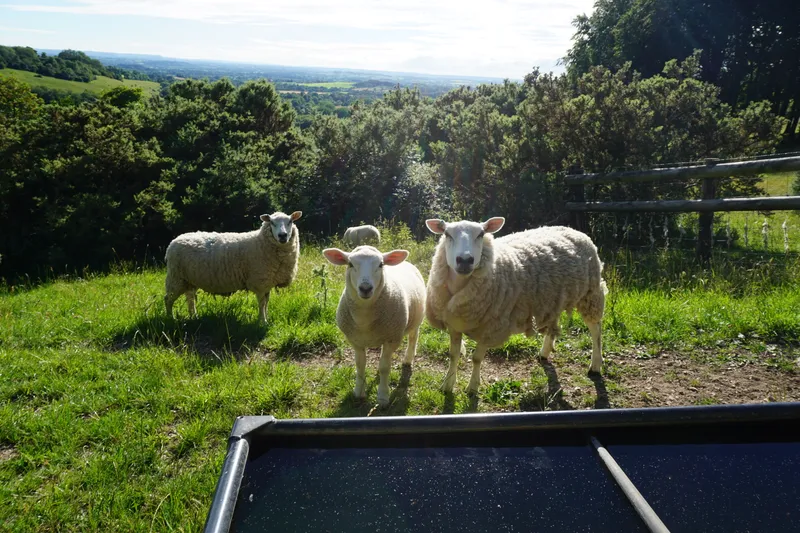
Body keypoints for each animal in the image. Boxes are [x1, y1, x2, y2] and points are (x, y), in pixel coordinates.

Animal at [164, 211, 302, 323]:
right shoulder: (259, 281)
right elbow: (262, 303)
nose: (282, 235)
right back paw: (170, 319)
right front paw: (262, 322)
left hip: (189, 280)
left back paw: (194, 316)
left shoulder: (267, 281)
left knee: (190, 297)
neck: (261, 242)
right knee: (168, 299)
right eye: (272, 222)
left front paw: (265, 318)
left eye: (290, 221)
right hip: (176, 277)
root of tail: (174, 241)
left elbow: (266, 302)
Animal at [322, 245, 425, 407]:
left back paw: (408, 359)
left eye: (381, 264)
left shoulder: (391, 339)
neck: (364, 319)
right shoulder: (356, 341)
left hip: (416, 319)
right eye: (350, 264)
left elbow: (384, 368)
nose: (365, 288)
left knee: (413, 338)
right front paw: (359, 392)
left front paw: (383, 396)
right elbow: (360, 365)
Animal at [425, 217, 607, 395]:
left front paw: (472, 387)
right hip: (553, 299)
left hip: (591, 293)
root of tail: (573, 229)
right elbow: (453, 355)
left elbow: (477, 359)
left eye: (481, 234)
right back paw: (544, 353)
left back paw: (595, 365)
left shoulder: (490, 329)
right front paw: (447, 385)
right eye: (447, 234)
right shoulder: (454, 324)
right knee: (554, 325)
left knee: (596, 330)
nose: (464, 260)